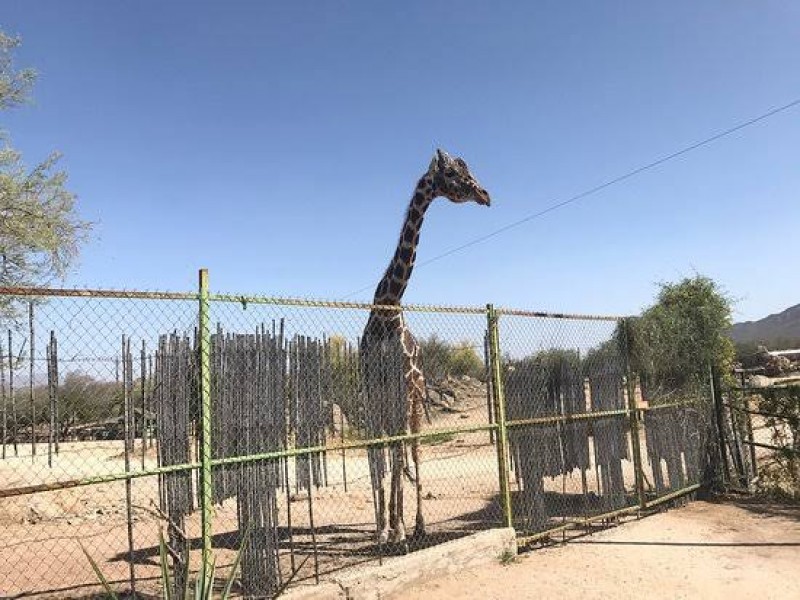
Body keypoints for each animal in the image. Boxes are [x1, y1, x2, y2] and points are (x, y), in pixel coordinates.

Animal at [360, 148, 488, 548]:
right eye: (453, 173)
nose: (485, 194)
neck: (385, 311)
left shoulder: (402, 387)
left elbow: (400, 452)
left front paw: (399, 529)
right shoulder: (372, 390)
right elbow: (377, 455)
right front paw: (381, 528)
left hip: (415, 399)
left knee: (413, 450)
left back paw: (416, 525)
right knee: (394, 451)